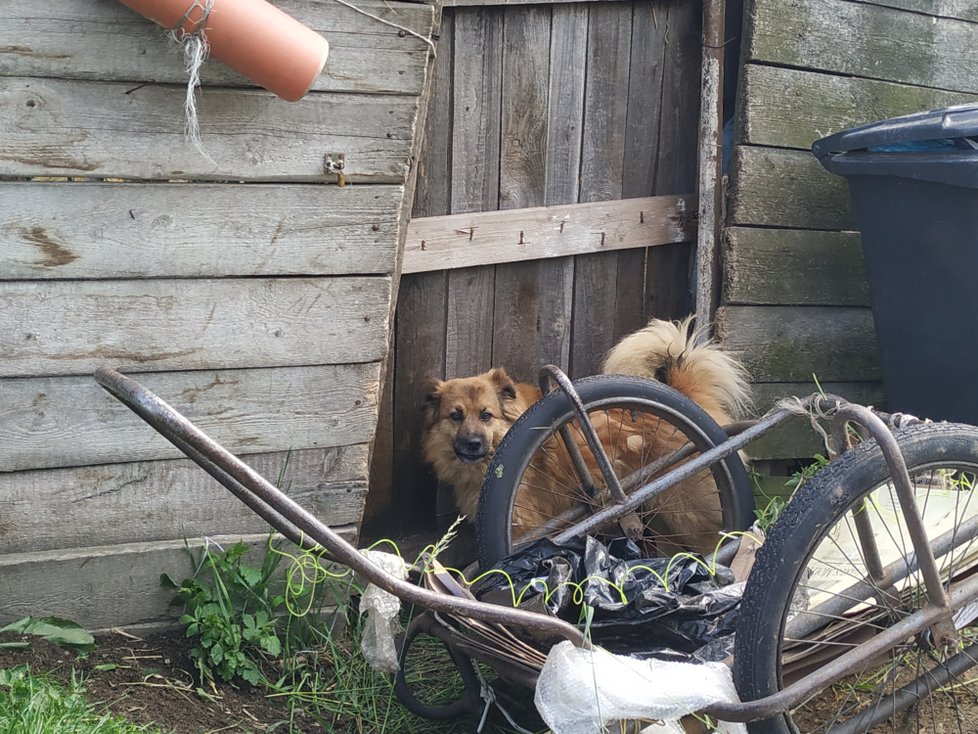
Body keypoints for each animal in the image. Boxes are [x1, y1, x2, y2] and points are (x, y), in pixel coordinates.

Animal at [420, 320, 748, 556]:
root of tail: (685, 394)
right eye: (456, 416)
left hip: (686, 512)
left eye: (486, 415)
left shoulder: (523, 525)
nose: (473, 444)